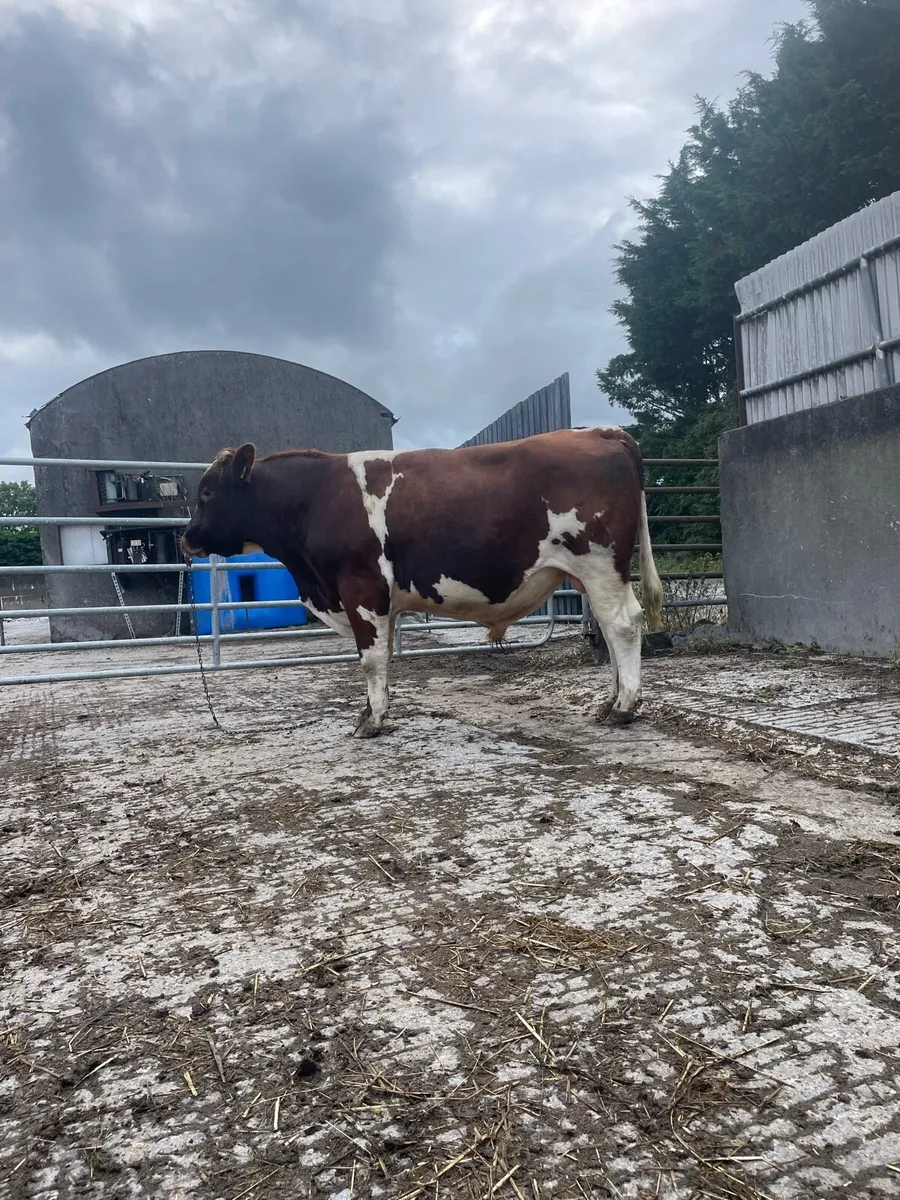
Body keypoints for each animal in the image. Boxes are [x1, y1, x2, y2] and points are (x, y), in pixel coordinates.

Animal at [181, 427, 664, 738]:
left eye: (206, 493)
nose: (186, 539)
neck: (314, 498)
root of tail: (602, 431)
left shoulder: (360, 587)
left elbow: (371, 658)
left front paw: (372, 721)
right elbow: (382, 657)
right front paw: (374, 709)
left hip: (599, 563)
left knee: (622, 625)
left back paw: (623, 708)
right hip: (589, 575)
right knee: (609, 630)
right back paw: (610, 702)